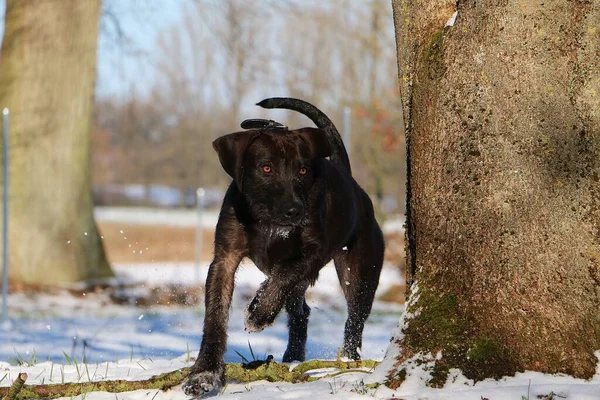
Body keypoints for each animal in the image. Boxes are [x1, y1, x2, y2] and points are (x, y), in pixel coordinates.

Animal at [183, 97, 384, 396]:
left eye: (303, 169)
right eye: (266, 168)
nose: (295, 212)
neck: (268, 223)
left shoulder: (314, 252)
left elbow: (284, 275)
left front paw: (258, 312)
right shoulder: (224, 258)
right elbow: (215, 317)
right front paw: (203, 373)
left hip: (360, 274)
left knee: (354, 319)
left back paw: (349, 361)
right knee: (301, 313)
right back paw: (292, 358)